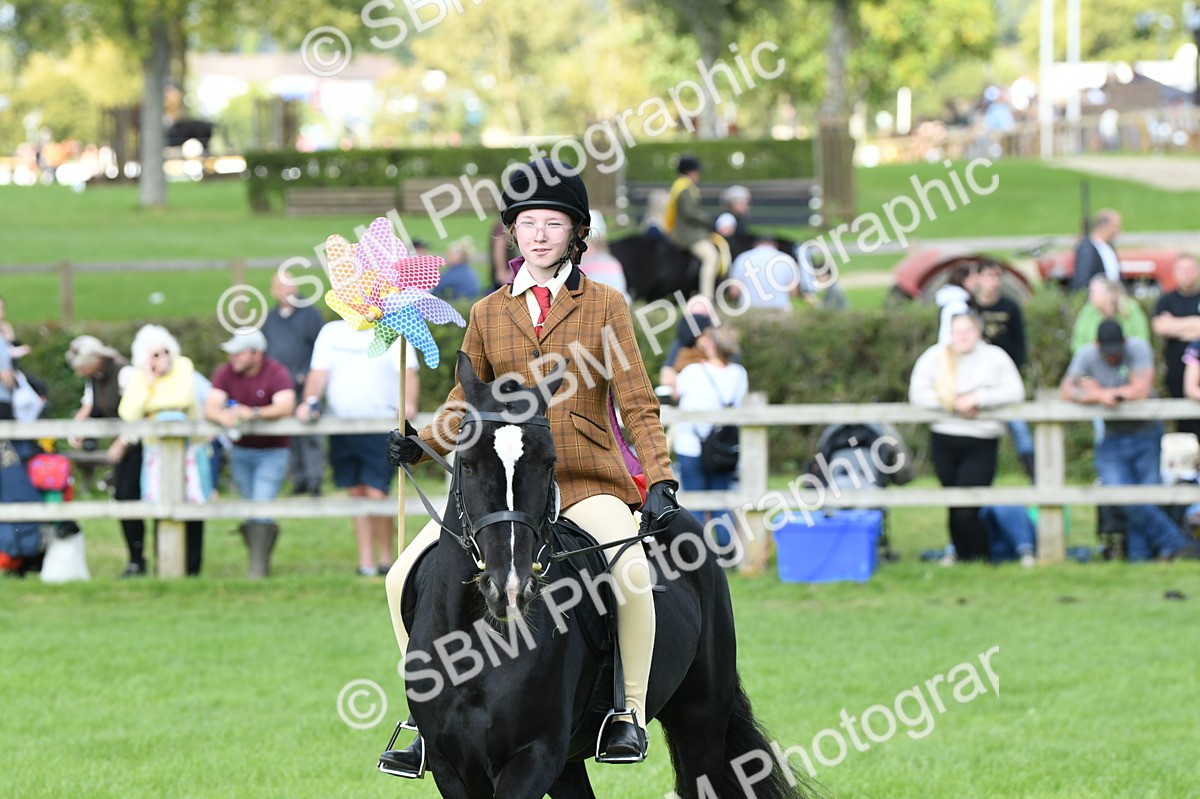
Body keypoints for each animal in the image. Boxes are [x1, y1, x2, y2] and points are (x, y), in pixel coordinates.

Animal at [399, 351, 817, 798]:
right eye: (468, 463)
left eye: (548, 463)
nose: (508, 588)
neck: (477, 645)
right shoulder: (452, 766)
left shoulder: (533, 756)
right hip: (569, 764)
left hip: (700, 722)